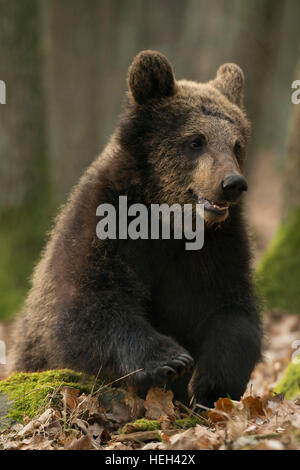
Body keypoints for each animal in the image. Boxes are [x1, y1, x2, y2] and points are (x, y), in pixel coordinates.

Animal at [10, 49, 262, 406]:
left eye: (236, 144)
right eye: (196, 141)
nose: (232, 183)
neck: (168, 221)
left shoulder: (218, 246)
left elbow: (231, 310)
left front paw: (209, 383)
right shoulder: (105, 224)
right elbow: (89, 304)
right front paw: (171, 360)